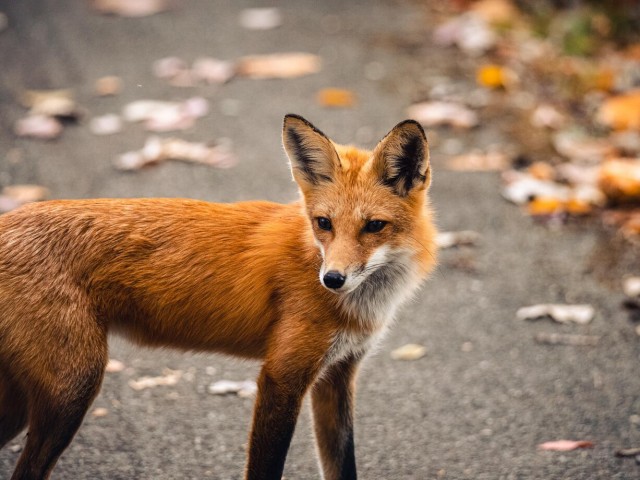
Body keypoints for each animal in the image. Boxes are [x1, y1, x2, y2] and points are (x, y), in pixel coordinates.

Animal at [0, 115, 438, 480]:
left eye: (374, 226)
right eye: (324, 223)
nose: (332, 279)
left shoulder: (338, 375)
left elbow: (342, 466)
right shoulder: (282, 376)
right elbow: (266, 469)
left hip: (25, 403)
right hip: (72, 390)